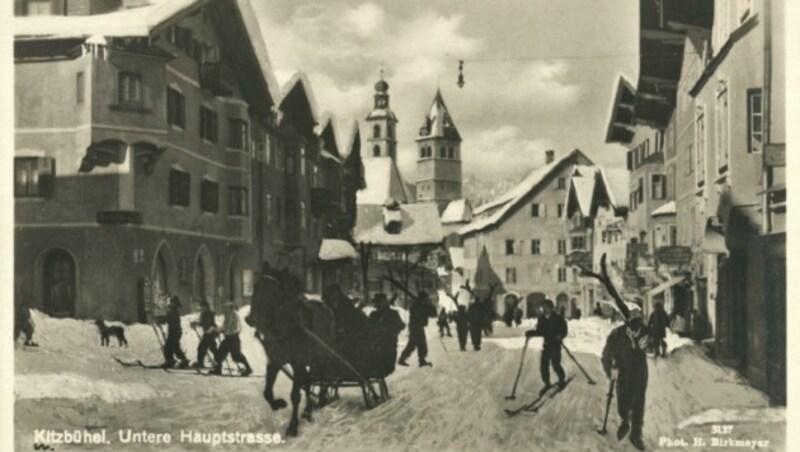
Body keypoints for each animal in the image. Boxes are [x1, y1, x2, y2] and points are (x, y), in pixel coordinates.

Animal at [244, 266, 334, 436]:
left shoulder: (298, 362)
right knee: (308, 381)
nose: (251, 319)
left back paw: (322, 400)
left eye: (274, 292)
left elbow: (295, 395)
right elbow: (267, 391)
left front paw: (293, 426)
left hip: (321, 357)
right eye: (255, 286)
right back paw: (308, 411)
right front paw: (279, 404)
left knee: (322, 378)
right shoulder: (274, 361)